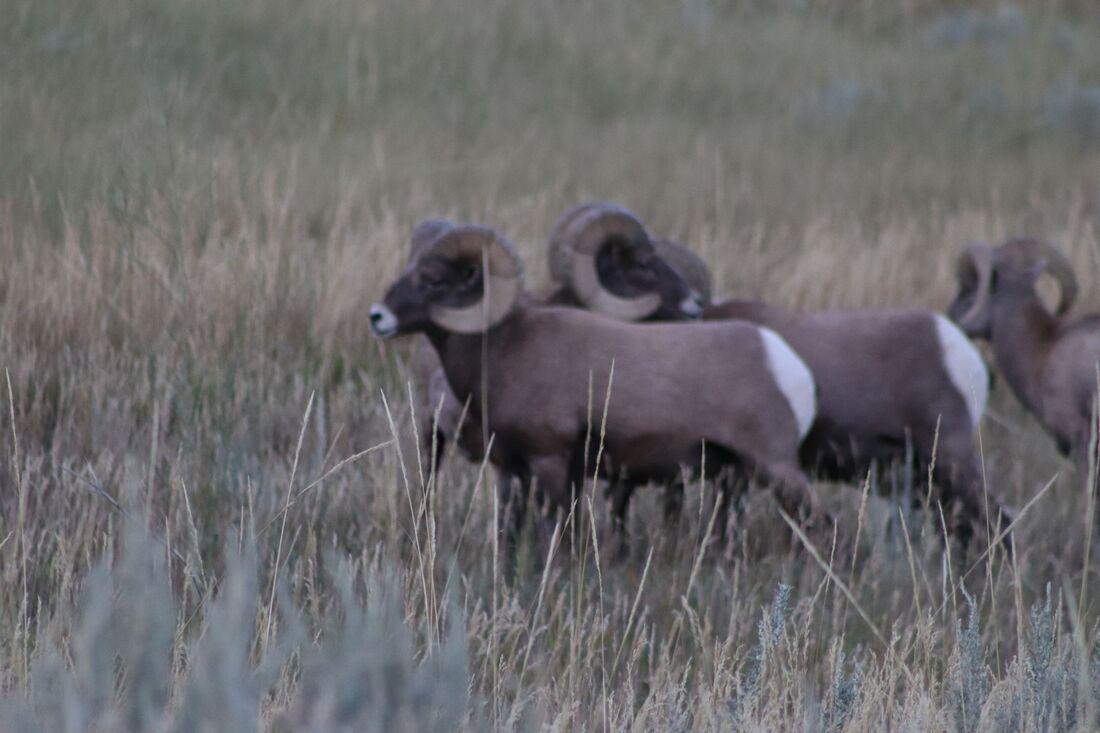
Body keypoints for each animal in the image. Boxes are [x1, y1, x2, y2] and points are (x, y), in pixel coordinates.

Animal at [369, 222, 827, 559]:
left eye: (432, 279)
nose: (378, 317)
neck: (505, 348)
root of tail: (783, 361)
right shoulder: (526, 470)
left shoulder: (551, 463)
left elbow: (557, 537)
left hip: (776, 467)